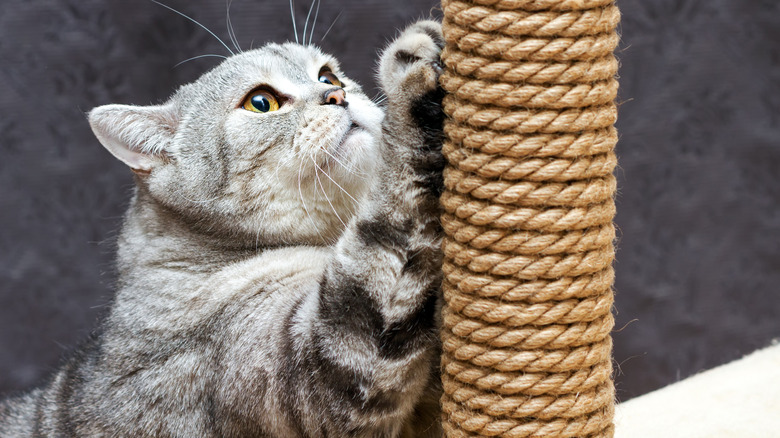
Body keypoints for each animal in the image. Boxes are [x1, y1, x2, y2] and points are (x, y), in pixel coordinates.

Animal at [0, 18, 444, 438]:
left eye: (328, 76)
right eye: (261, 102)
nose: (339, 95)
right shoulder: (333, 367)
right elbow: (398, 195)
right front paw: (412, 71)